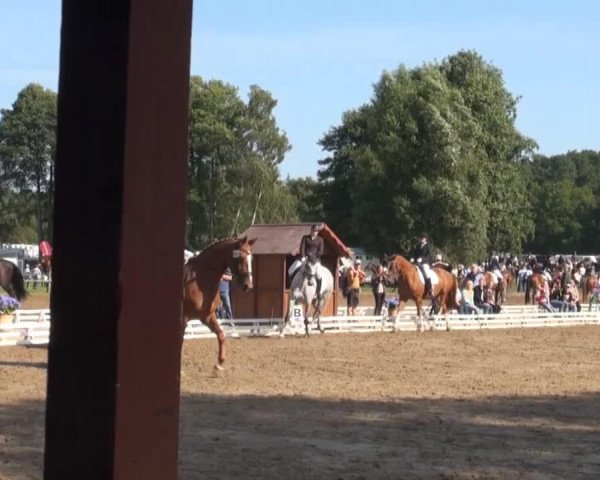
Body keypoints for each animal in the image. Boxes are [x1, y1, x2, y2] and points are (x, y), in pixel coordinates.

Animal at [184, 235, 256, 368]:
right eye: (241, 257)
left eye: (251, 258)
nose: (247, 285)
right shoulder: (183, 318)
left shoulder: (207, 316)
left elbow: (221, 335)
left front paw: (220, 362)